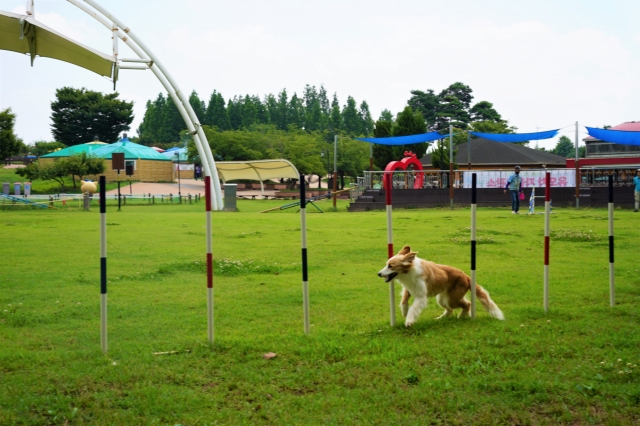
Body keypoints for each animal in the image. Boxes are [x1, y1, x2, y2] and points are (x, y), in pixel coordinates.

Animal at [376, 246, 504, 326]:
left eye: (390, 266)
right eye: (387, 264)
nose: (378, 274)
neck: (409, 271)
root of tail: (467, 276)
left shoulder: (421, 296)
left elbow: (414, 308)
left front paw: (409, 321)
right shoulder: (409, 288)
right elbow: (403, 300)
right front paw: (404, 311)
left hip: (452, 299)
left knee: (467, 304)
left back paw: (462, 316)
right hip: (442, 299)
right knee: (450, 310)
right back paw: (440, 318)